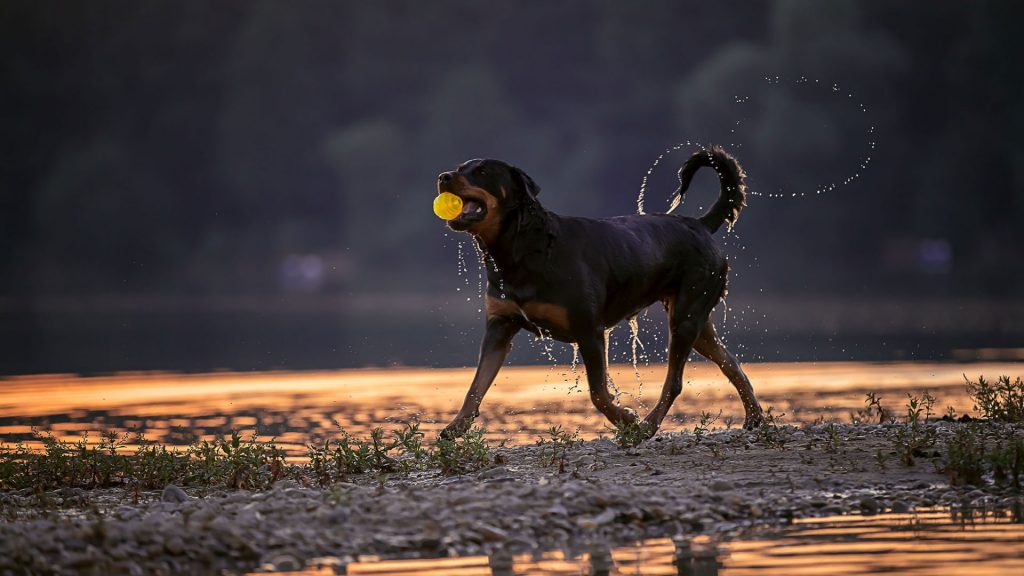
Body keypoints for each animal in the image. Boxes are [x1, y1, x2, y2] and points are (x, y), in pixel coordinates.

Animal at [436, 145, 765, 436]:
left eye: (482, 171)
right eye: (461, 167)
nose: (443, 176)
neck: (519, 248)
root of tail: (701, 224)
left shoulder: (589, 329)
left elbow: (598, 393)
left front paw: (627, 419)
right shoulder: (499, 327)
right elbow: (476, 386)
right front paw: (456, 426)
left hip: (686, 316)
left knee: (675, 382)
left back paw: (647, 425)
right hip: (696, 320)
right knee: (731, 363)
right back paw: (754, 416)